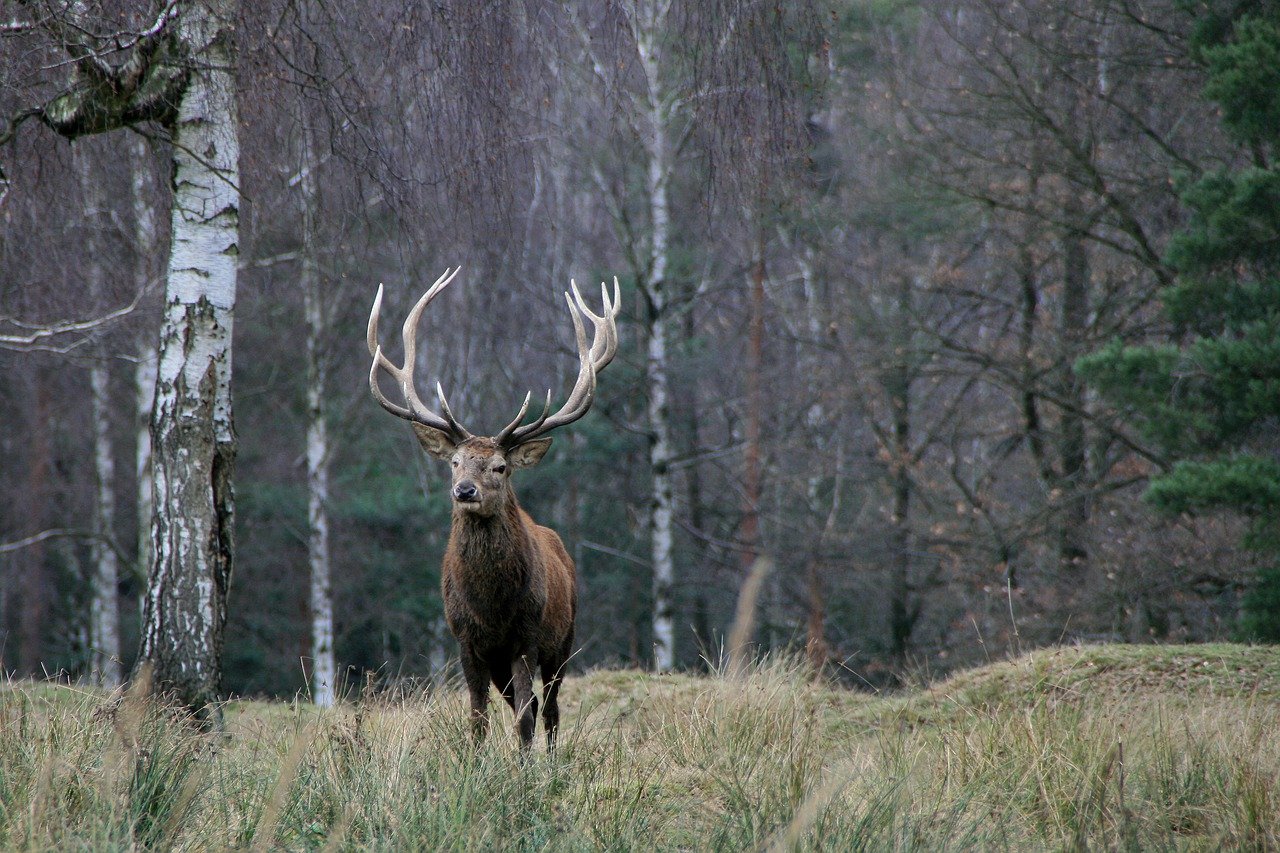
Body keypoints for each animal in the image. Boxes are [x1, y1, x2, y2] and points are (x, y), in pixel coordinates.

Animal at [366, 266, 619, 753]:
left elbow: (524, 717)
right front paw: (478, 763)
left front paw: (522, 768)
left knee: (549, 708)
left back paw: (551, 759)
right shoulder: (467, 641)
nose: (464, 491)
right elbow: (478, 718)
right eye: (455, 462)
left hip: (564, 638)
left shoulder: (526, 637)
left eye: (500, 467)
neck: (491, 606)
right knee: (533, 705)